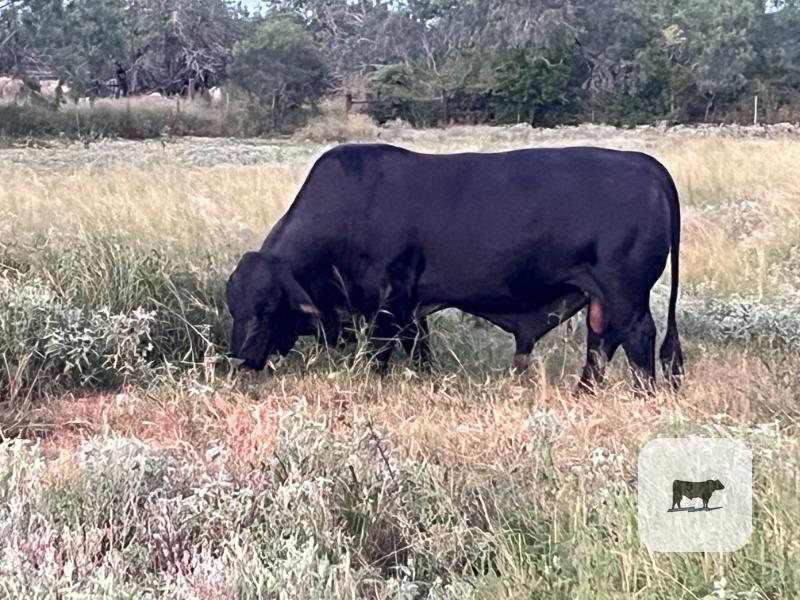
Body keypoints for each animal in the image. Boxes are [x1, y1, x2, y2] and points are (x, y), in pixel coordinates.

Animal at [226, 143, 684, 391]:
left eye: (266, 308)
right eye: (234, 308)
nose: (239, 360)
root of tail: (646, 165)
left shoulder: (388, 301)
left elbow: (378, 355)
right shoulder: (412, 310)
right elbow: (420, 352)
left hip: (624, 291)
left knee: (638, 338)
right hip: (601, 298)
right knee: (601, 343)